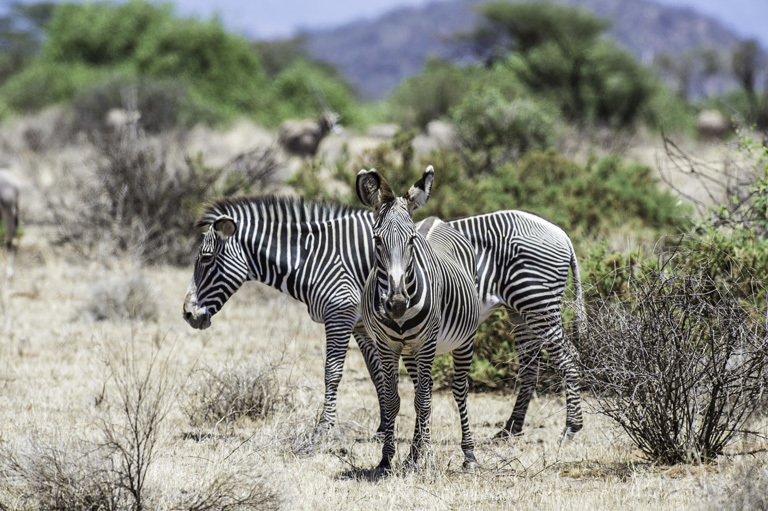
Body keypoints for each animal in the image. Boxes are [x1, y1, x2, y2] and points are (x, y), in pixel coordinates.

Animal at [356, 168, 476, 476]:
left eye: (411, 240)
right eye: (377, 240)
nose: (397, 303)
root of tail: (434, 220)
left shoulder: (427, 343)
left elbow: (422, 401)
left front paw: (430, 459)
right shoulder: (386, 346)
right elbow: (393, 400)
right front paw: (387, 459)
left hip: (462, 341)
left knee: (458, 390)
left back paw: (468, 454)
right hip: (410, 351)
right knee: (426, 388)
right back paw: (413, 455)